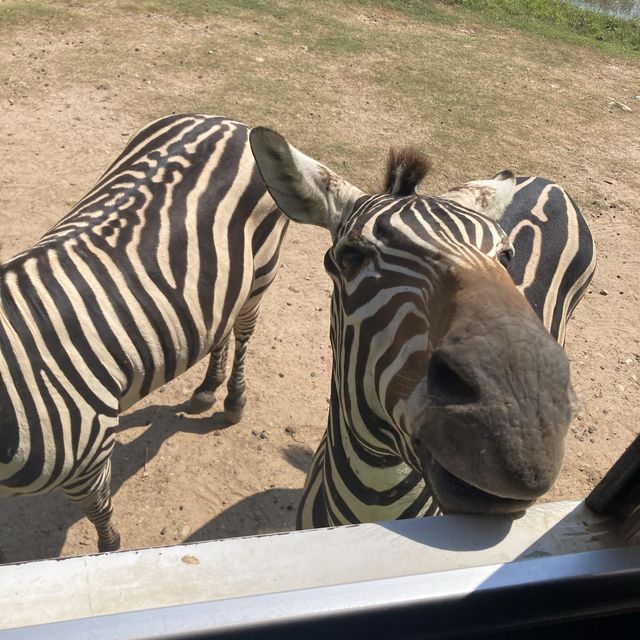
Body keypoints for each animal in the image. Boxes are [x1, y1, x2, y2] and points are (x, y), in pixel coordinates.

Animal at [0, 114, 286, 552]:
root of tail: (229, 122)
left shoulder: (88, 465)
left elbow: (104, 526)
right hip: (221, 278)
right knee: (218, 326)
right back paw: (207, 388)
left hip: (262, 270)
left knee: (242, 332)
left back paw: (233, 400)